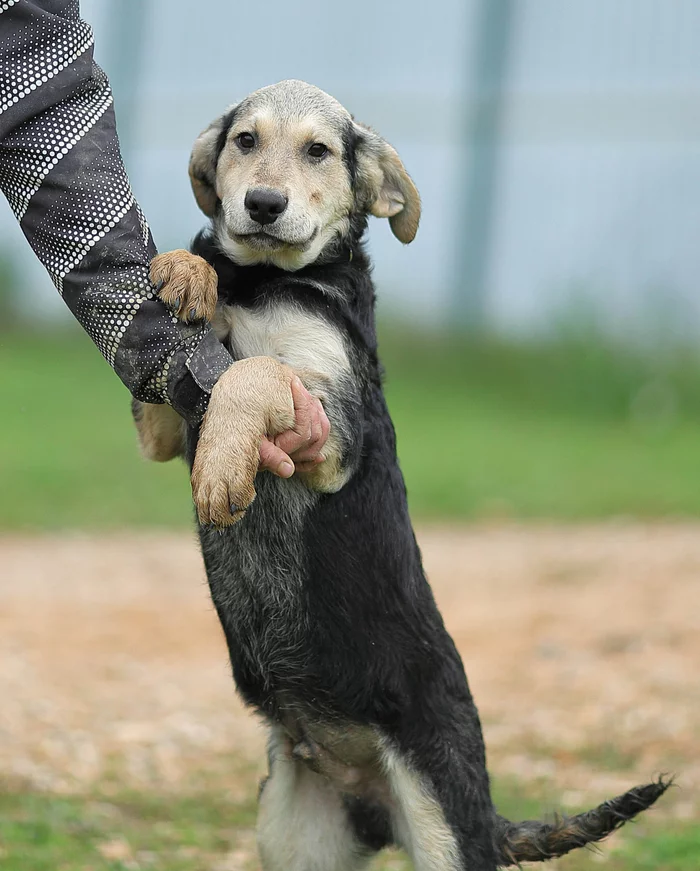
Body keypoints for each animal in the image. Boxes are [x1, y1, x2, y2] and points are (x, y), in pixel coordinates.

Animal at [134, 82, 668, 871]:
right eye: (244, 141)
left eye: (319, 151)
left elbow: (257, 372)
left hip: (440, 816)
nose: (261, 204)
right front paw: (187, 268)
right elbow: (199, 355)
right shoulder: (167, 428)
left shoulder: (327, 428)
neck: (266, 281)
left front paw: (226, 464)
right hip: (294, 833)